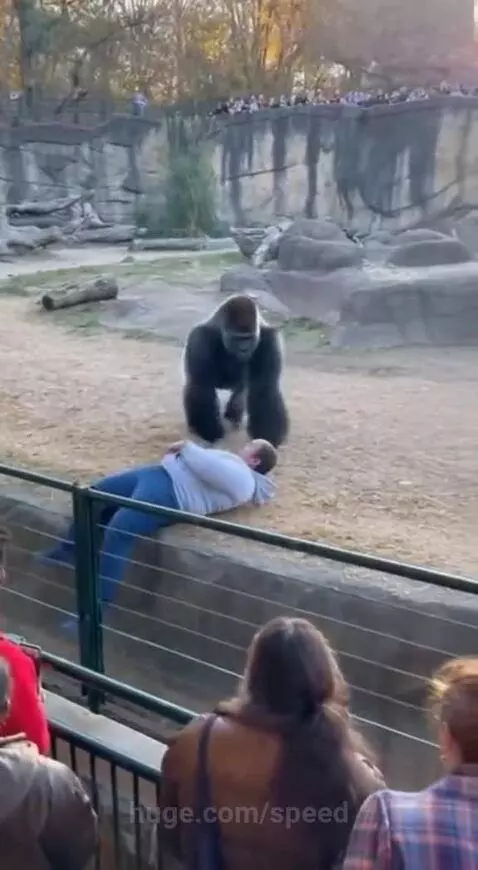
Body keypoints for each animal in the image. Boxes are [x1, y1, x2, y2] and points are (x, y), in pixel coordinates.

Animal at [182, 294, 289, 447]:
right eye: (237, 338)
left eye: (248, 338)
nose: (244, 349)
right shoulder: (199, 338)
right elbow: (201, 386)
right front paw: (211, 432)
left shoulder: (269, 339)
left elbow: (265, 388)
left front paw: (268, 436)